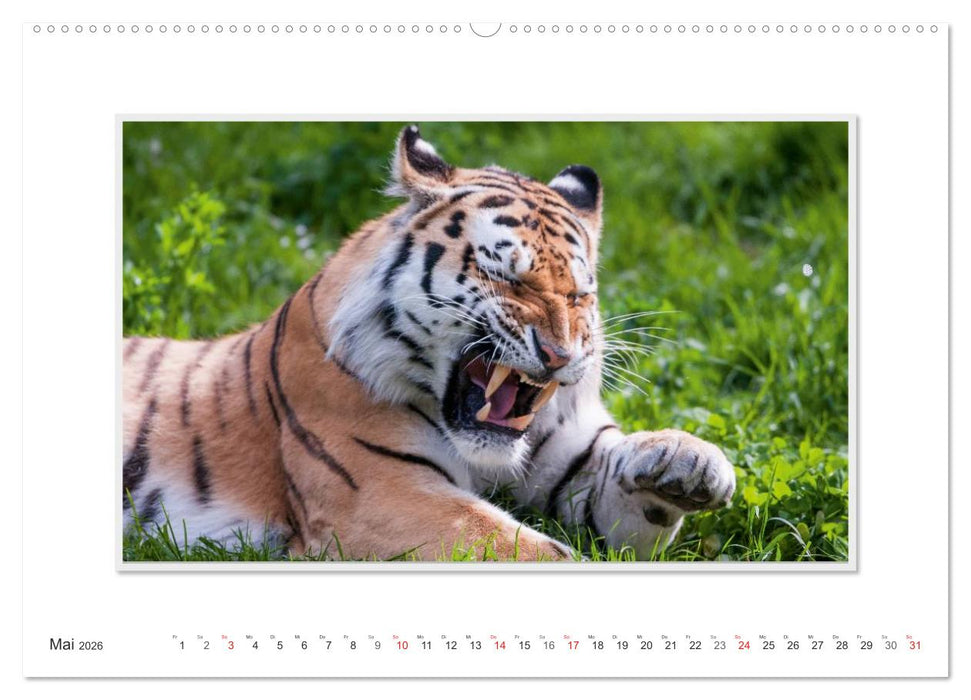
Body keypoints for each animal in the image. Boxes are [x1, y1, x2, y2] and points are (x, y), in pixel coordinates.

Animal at [122, 125, 736, 561]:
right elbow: (529, 552)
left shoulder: (574, 460)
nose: (560, 356)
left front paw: (689, 460)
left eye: (579, 294)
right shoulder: (379, 492)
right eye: (508, 278)